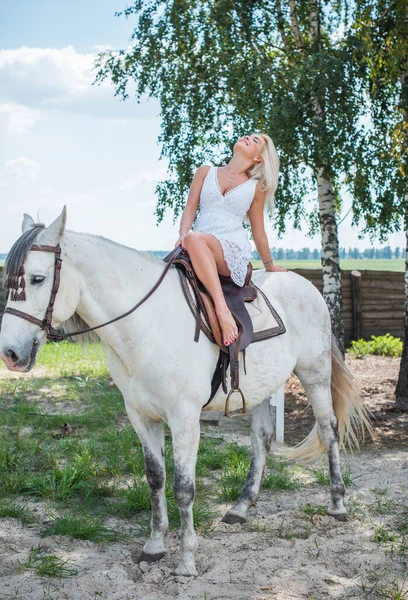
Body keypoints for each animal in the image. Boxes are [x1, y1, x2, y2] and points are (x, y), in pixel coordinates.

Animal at [0, 207, 370, 576]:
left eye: (37, 278)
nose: (10, 354)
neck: (147, 325)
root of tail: (305, 284)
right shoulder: (141, 416)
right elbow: (155, 478)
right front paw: (154, 545)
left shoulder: (184, 419)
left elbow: (183, 487)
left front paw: (187, 559)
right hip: (259, 387)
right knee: (262, 437)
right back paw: (241, 506)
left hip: (314, 373)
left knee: (329, 429)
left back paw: (337, 503)